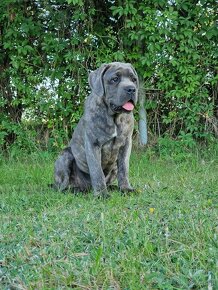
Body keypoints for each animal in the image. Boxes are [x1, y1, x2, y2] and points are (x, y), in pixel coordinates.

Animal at [54, 61, 140, 197]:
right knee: (62, 186)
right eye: (115, 79)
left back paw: (112, 187)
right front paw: (101, 194)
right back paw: (76, 190)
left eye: (133, 79)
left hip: (113, 167)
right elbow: (97, 171)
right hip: (65, 155)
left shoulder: (126, 144)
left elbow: (124, 169)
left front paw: (126, 188)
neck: (114, 117)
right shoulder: (93, 144)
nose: (131, 89)